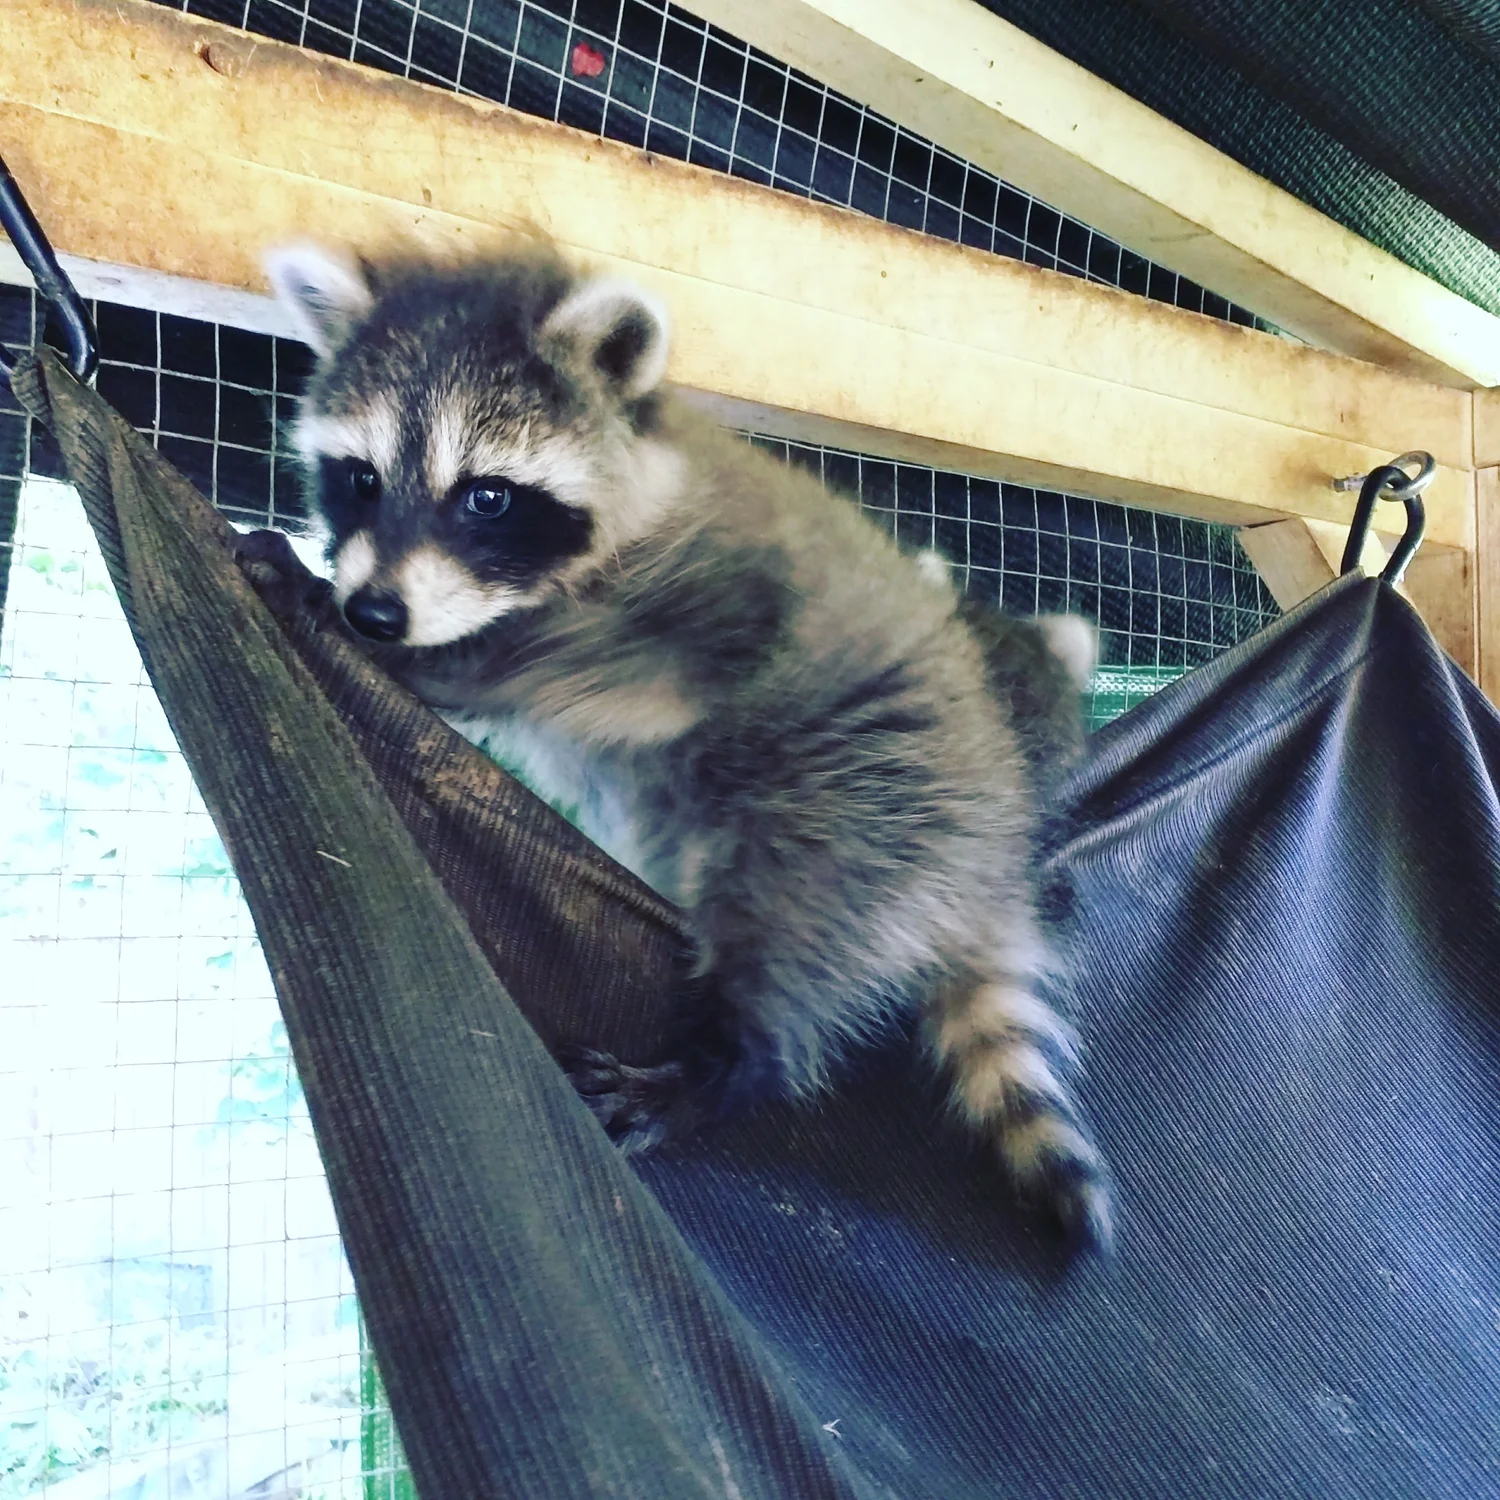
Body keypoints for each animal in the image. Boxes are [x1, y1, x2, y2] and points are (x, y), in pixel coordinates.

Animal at [267, 239, 1112, 1248]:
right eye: (359, 478)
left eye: (487, 496)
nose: (375, 615)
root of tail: (987, 866)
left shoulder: (710, 598)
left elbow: (571, 665)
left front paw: (417, 655)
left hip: (870, 798)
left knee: (788, 922)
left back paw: (721, 1067)